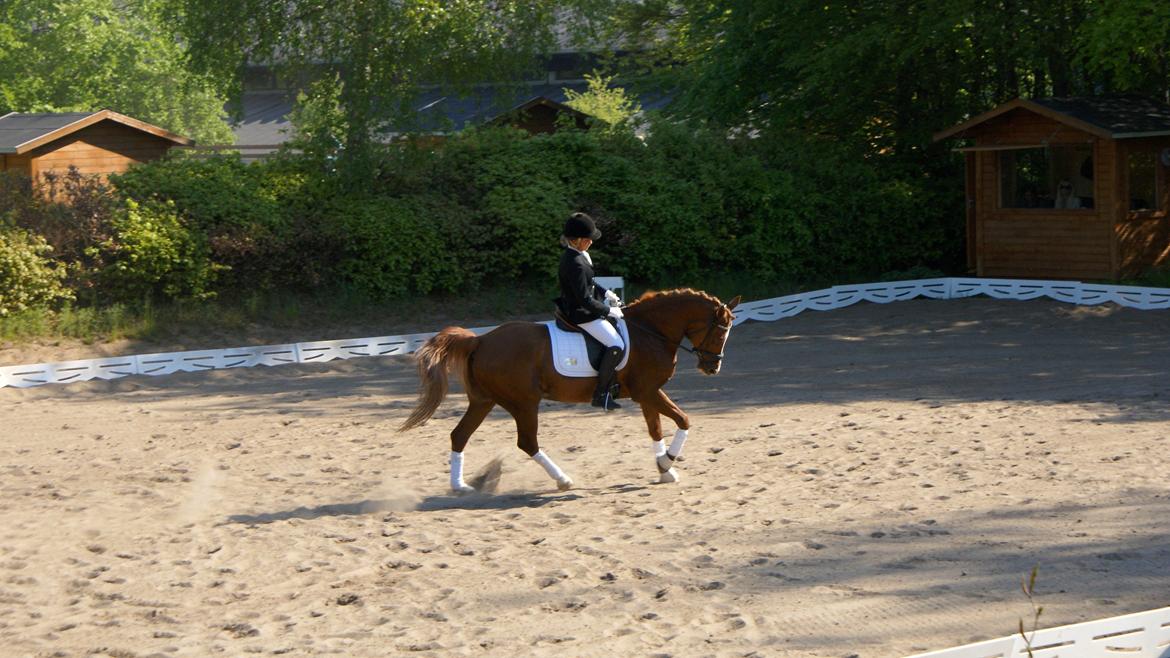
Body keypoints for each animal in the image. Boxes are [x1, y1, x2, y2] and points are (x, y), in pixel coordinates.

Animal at [398, 288, 741, 493]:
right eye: (720, 332)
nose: (712, 368)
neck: (651, 332)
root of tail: (480, 340)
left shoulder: (647, 393)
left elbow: (656, 429)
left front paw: (663, 469)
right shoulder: (648, 392)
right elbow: (683, 420)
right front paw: (667, 463)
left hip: (484, 401)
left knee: (460, 435)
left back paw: (461, 487)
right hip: (524, 402)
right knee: (527, 442)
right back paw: (563, 479)